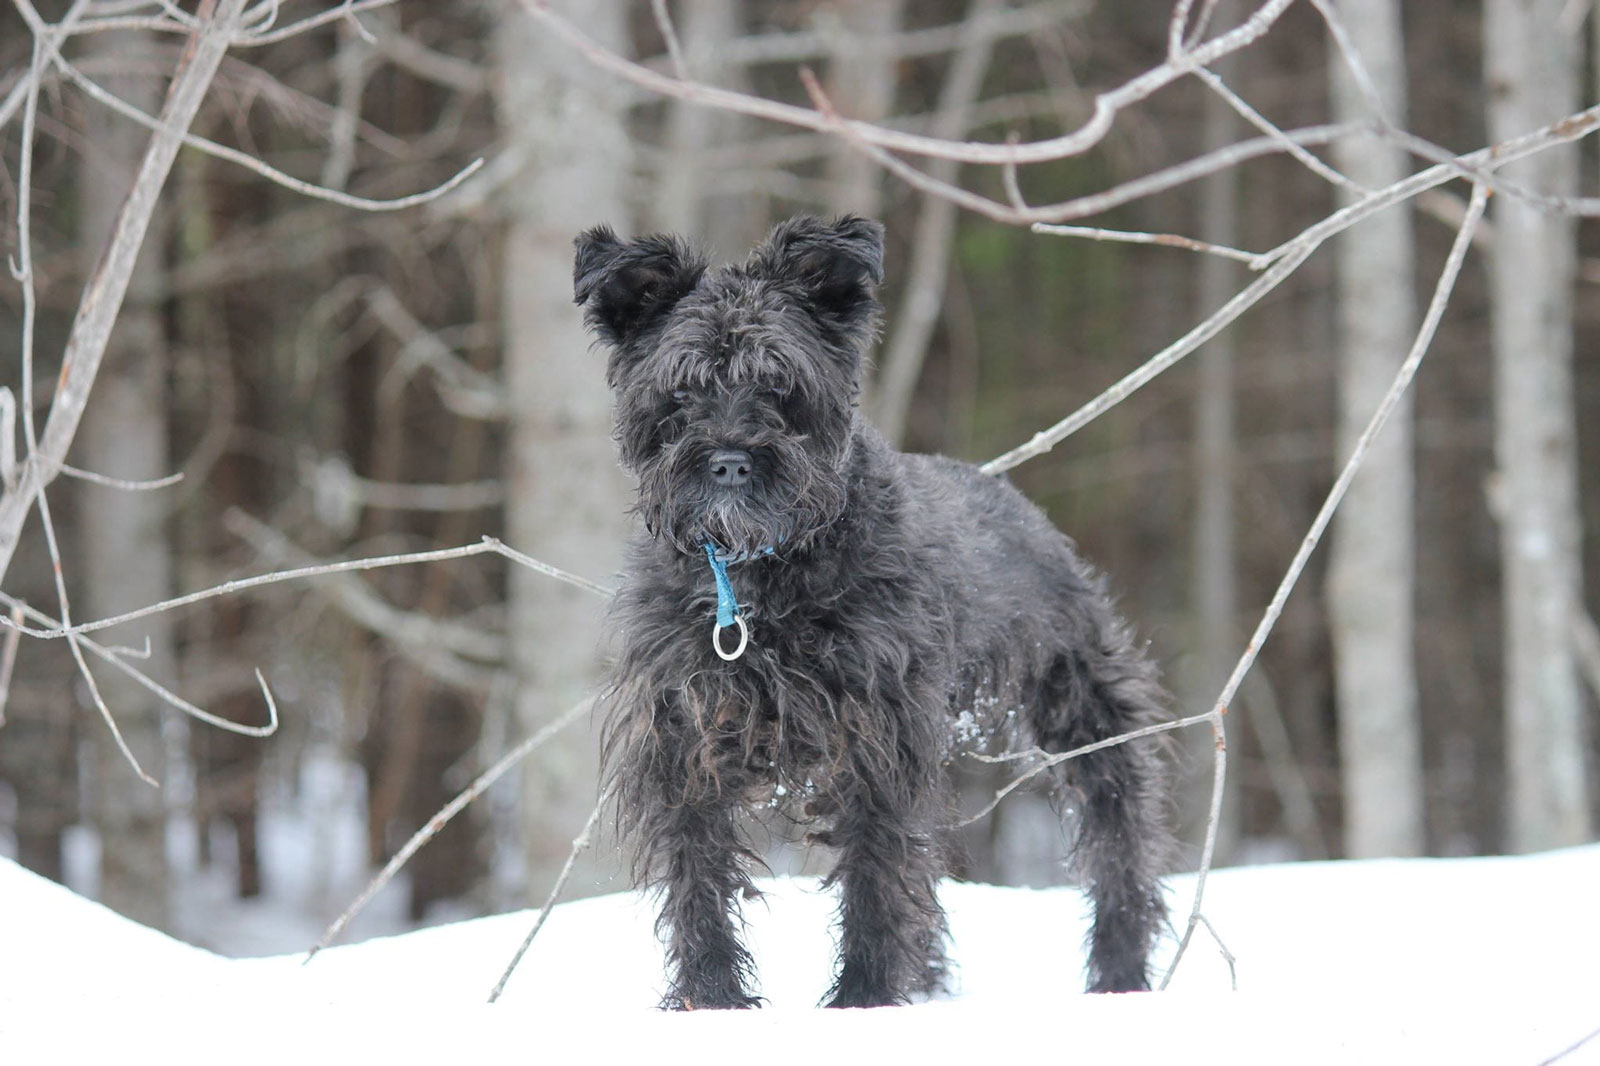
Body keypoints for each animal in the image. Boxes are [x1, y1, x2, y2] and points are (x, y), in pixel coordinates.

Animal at [576, 214, 1177, 1005]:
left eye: (780, 384)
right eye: (682, 390)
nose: (731, 459)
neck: (758, 578)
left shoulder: (876, 741)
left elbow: (876, 874)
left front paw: (864, 999)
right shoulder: (684, 742)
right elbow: (697, 877)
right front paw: (714, 1001)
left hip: (1086, 713)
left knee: (1119, 845)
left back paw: (1118, 978)